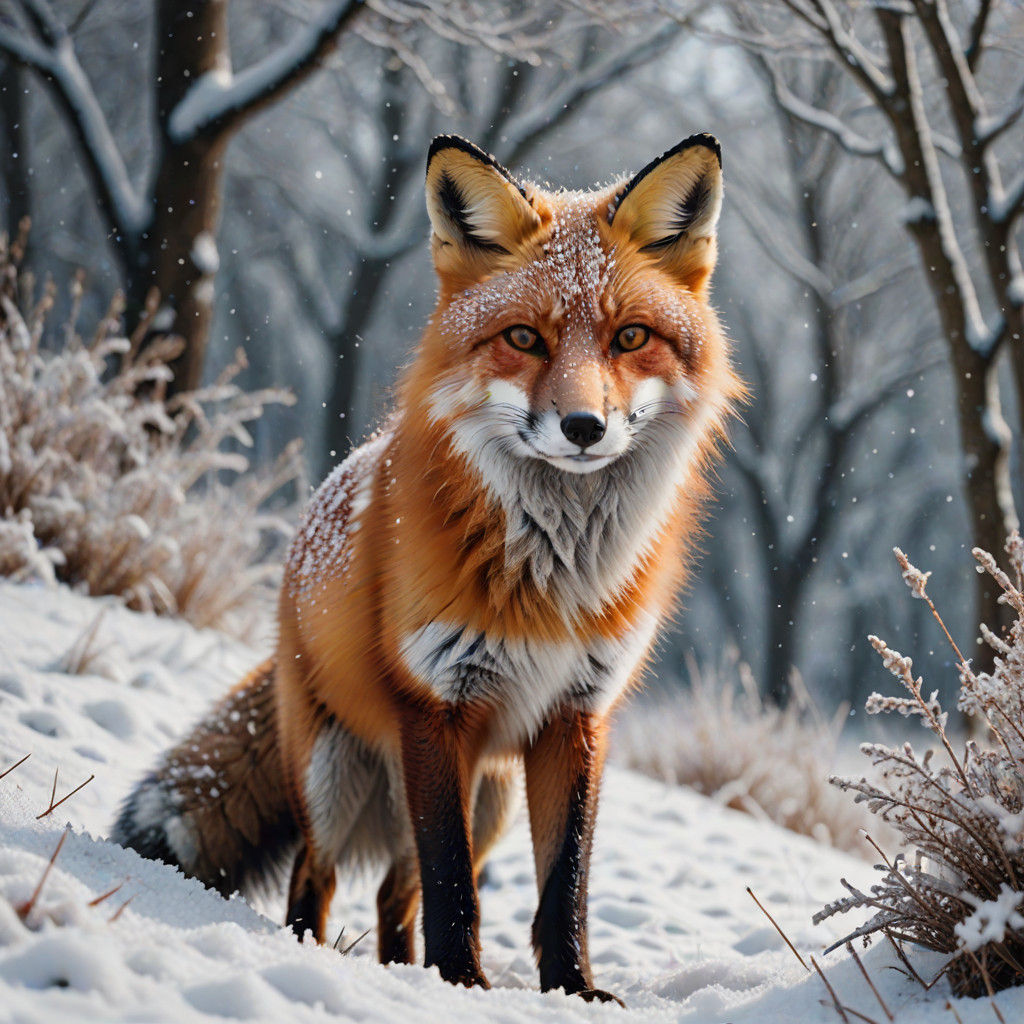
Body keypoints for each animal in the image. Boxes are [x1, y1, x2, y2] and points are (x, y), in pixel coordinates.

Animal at [112, 132, 743, 1004]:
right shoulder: (436, 705)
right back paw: (315, 953)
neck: (557, 577)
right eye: (525, 338)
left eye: (629, 338)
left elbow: (565, 883)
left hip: (490, 797)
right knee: (319, 874)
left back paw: (400, 968)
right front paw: (462, 982)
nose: (584, 426)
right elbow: (454, 886)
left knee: (391, 891)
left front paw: (570, 988)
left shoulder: (577, 717)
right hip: (336, 776)